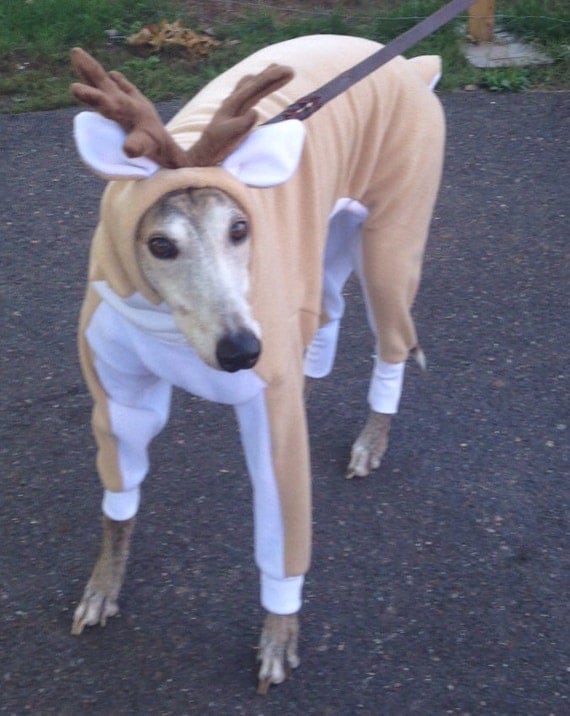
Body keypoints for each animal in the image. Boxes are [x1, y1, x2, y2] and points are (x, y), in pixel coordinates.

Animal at [67, 34, 445, 692]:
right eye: (160, 244)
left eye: (240, 228)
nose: (244, 352)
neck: (171, 326)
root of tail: (404, 62)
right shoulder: (118, 398)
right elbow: (119, 503)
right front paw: (103, 585)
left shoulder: (271, 416)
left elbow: (282, 536)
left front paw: (278, 634)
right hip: (326, 237)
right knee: (327, 304)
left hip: (392, 245)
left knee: (392, 339)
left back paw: (372, 436)